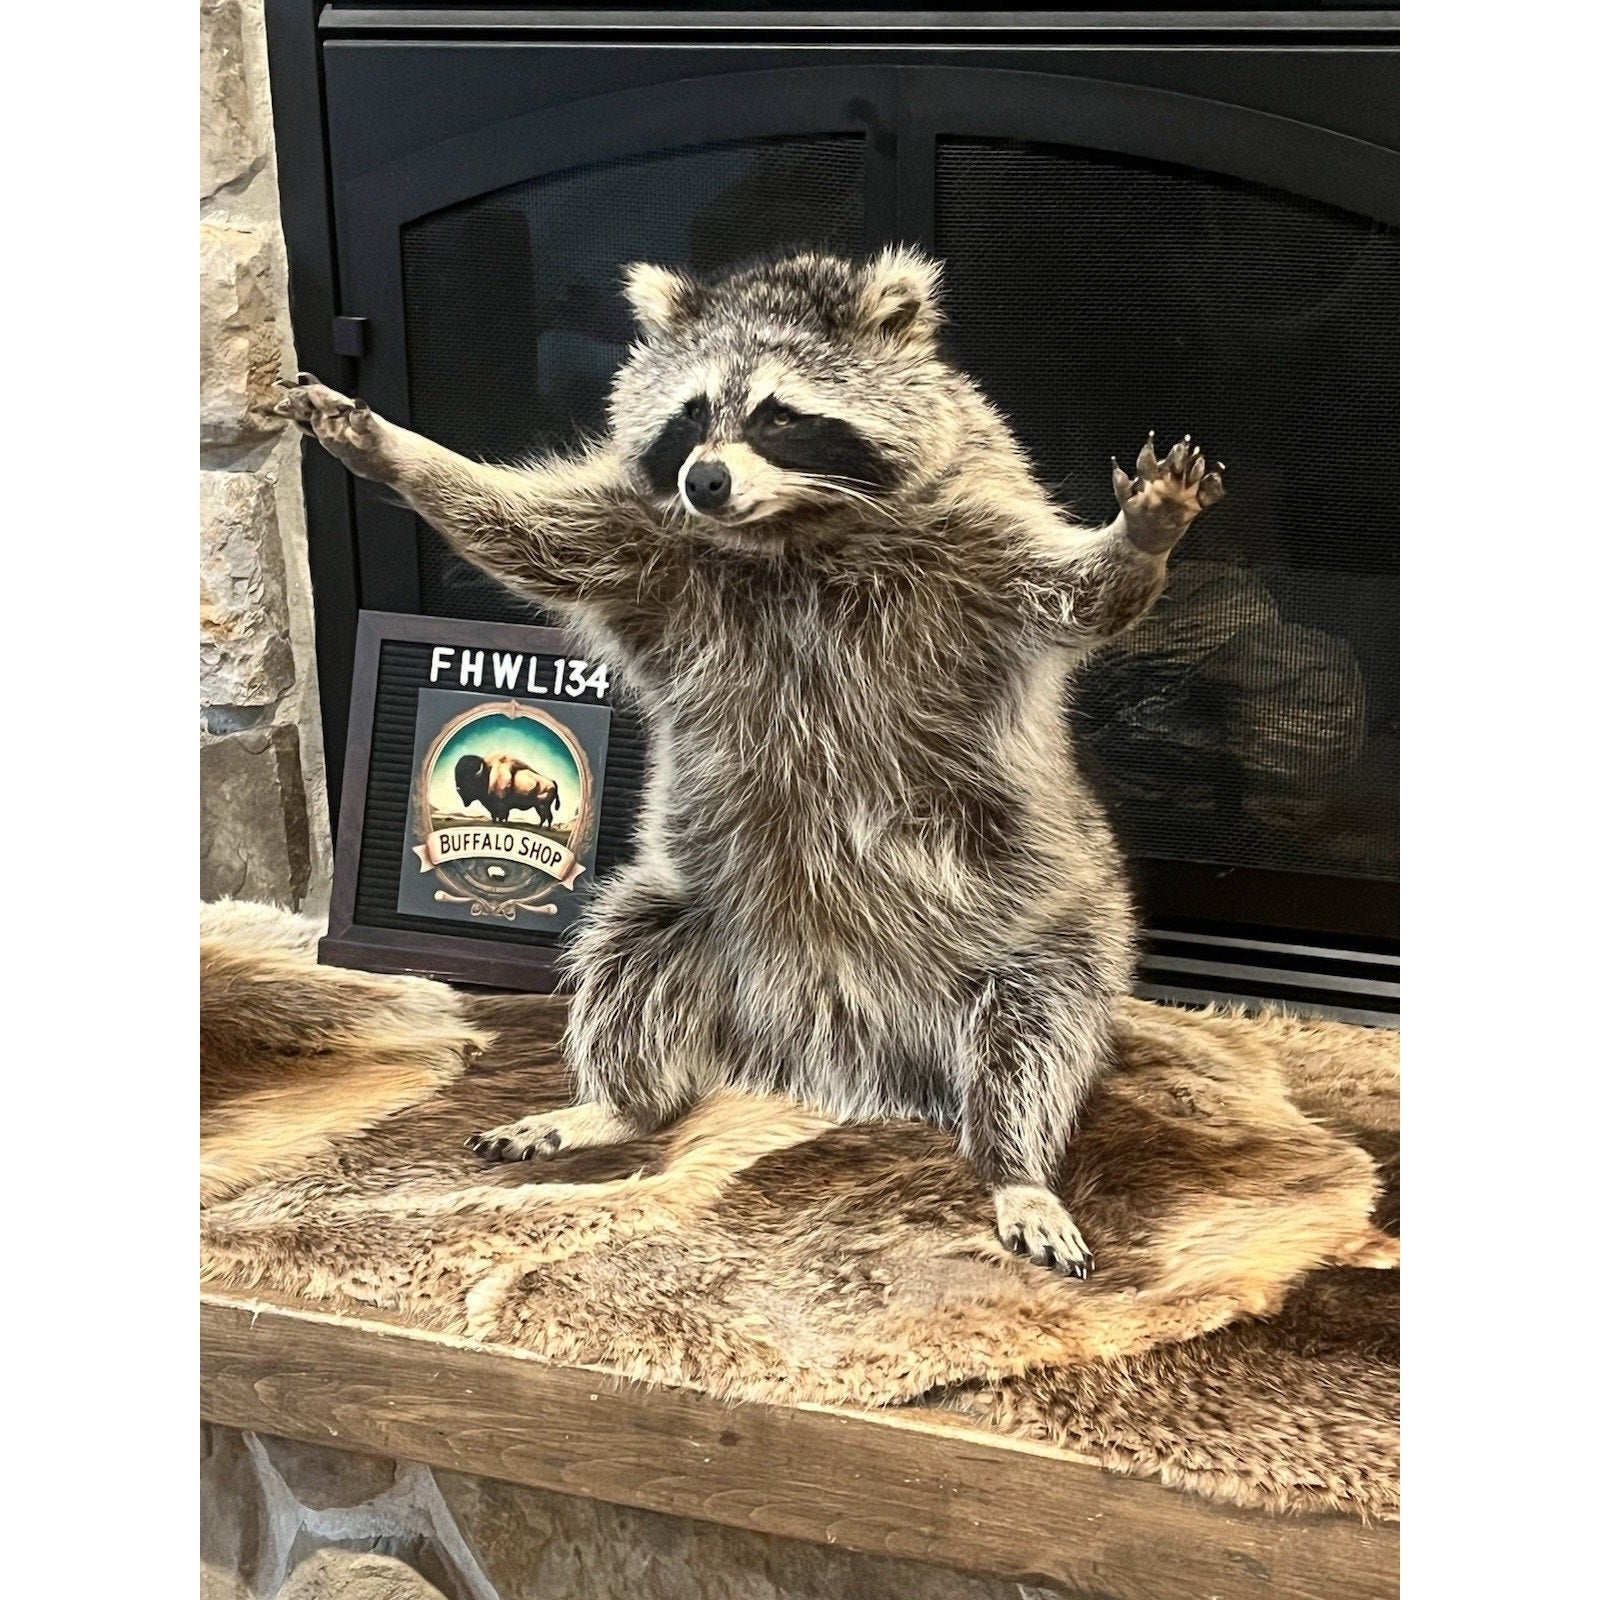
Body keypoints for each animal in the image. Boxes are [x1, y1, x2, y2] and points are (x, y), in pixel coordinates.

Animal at [276, 247, 1225, 1276]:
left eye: (778, 415)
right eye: (691, 414)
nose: (705, 482)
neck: (790, 531)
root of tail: (830, 1056)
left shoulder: (974, 546)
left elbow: (1081, 596)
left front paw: (1140, 542)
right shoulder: (642, 544)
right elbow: (523, 529)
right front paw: (396, 451)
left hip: (1051, 926)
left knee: (1032, 1039)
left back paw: (1014, 1164)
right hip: (692, 906)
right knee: (625, 961)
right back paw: (616, 1102)